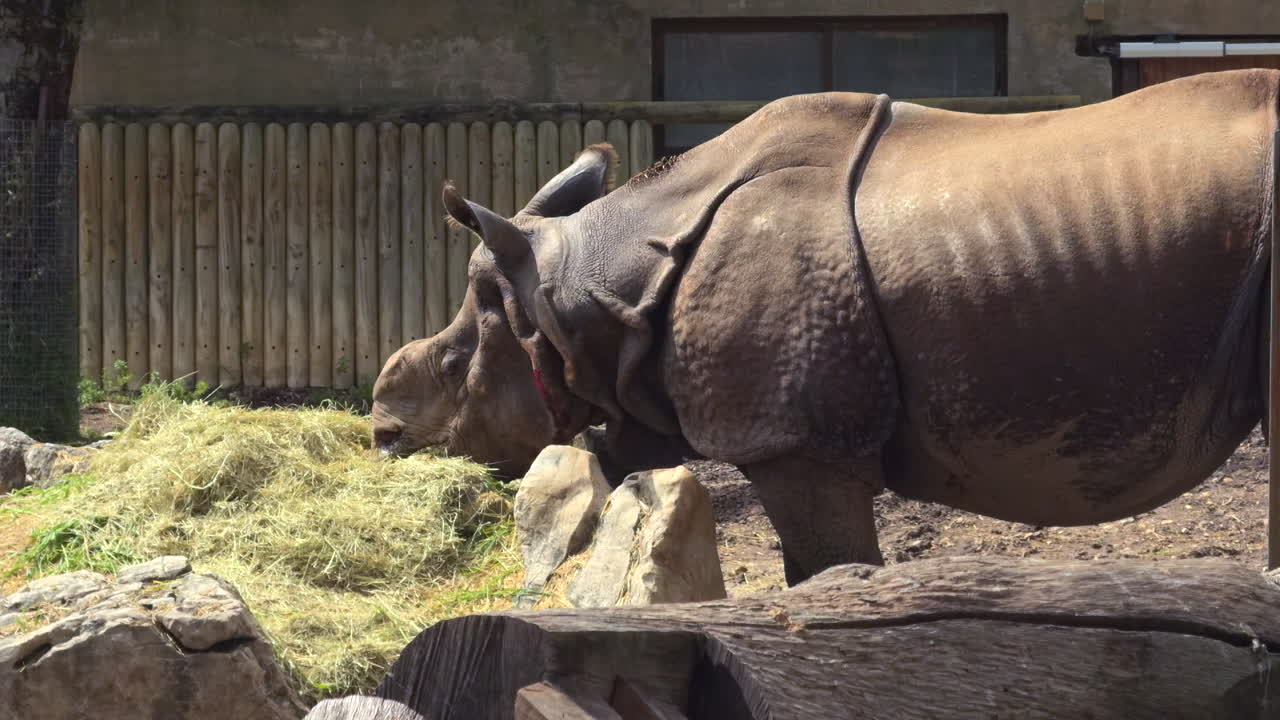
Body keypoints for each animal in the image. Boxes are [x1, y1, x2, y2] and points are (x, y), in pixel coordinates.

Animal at [378, 69, 1280, 586]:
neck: (586, 288)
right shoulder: (762, 425)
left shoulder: (795, 439)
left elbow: (829, 575)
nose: (383, 435)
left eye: (454, 367)